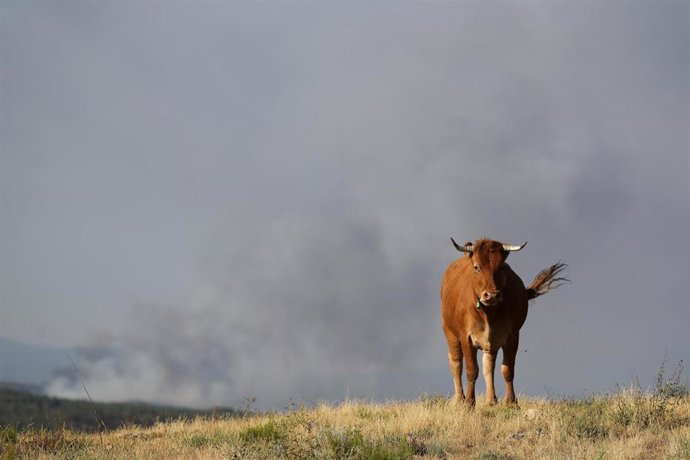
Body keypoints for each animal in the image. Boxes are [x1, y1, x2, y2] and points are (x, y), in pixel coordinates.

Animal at [441, 237, 567, 408]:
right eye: (476, 267)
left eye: (501, 267)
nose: (491, 295)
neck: (488, 313)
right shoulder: (466, 337)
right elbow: (471, 370)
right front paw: (469, 404)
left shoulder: (512, 336)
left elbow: (507, 370)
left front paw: (512, 403)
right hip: (450, 332)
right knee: (456, 363)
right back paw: (460, 399)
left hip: (491, 343)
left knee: (488, 366)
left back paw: (491, 400)